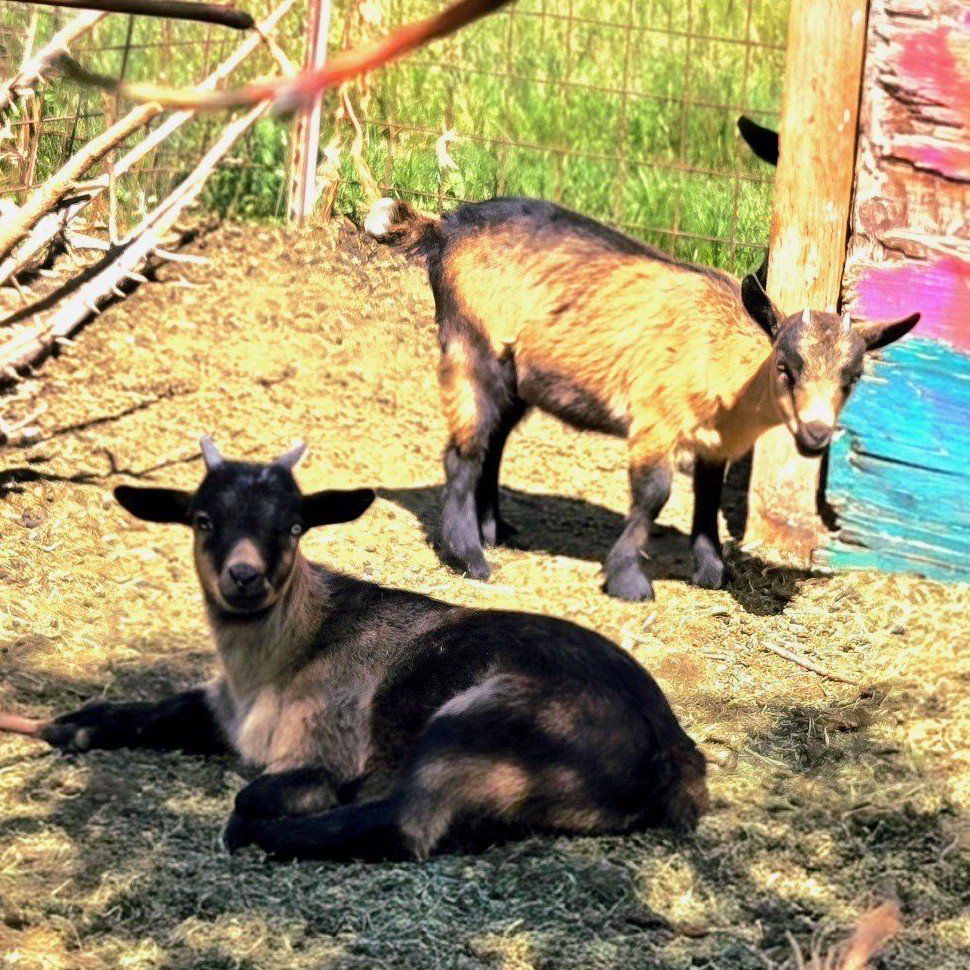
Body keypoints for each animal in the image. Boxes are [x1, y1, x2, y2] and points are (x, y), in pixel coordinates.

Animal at [36, 438, 708, 861]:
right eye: (202, 519)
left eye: (294, 526)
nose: (244, 578)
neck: (285, 659)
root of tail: (672, 751)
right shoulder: (222, 709)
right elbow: (157, 710)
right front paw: (74, 724)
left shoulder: (321, 745)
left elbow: (255, 792)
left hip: (478, 725)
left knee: (407, 824)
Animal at [366, 196, 919, 601]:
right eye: (786, 366)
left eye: (852, 377)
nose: (816, 433)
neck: (723, 355)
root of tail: (445, 228)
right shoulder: (655, 418)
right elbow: (654, 494)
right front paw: (629, 580)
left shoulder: (715, 440)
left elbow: (707, 497)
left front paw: (712, 570)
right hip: (474, 343)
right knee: (463, 450)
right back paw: (471, 557)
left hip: (519, 375)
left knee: (493, 443)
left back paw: (493, 529)